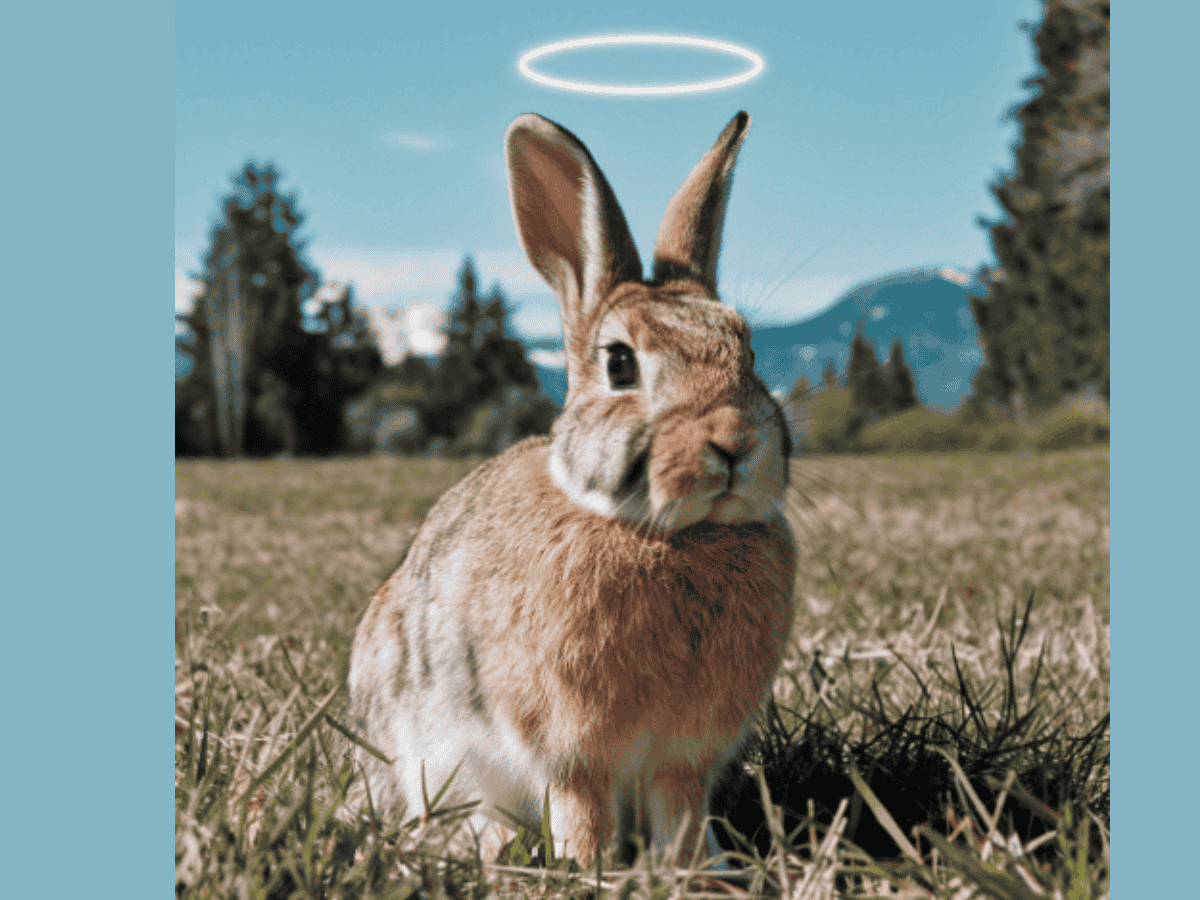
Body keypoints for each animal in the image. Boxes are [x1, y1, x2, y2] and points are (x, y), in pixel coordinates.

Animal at [346, 110, 796, 868]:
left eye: (749, 351)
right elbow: (583, 808)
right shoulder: (571, 748)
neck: (667, 535)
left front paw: (698, 870)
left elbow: (681, 810)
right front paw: (591, 869)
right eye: (619, 363)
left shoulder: (684, 758)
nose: (734, 441)